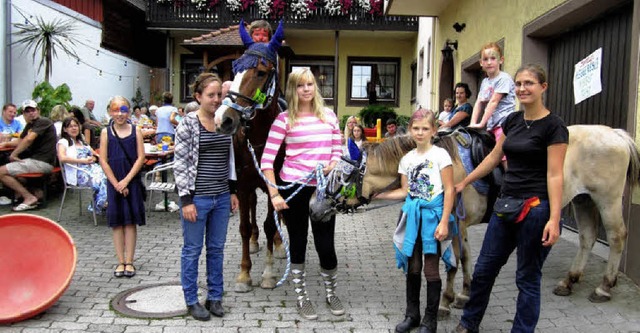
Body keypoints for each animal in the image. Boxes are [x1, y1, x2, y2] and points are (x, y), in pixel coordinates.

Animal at [215, 23, 284, 292]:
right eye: (235, 69)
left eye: (261, 72)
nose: (224, 119)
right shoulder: (243, 184)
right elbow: (244, 227)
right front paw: (244, 274)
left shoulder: (274, 183)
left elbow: (270, 224)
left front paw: (267, 273)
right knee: (254, 208)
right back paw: (255, 243)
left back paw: (278, 244)